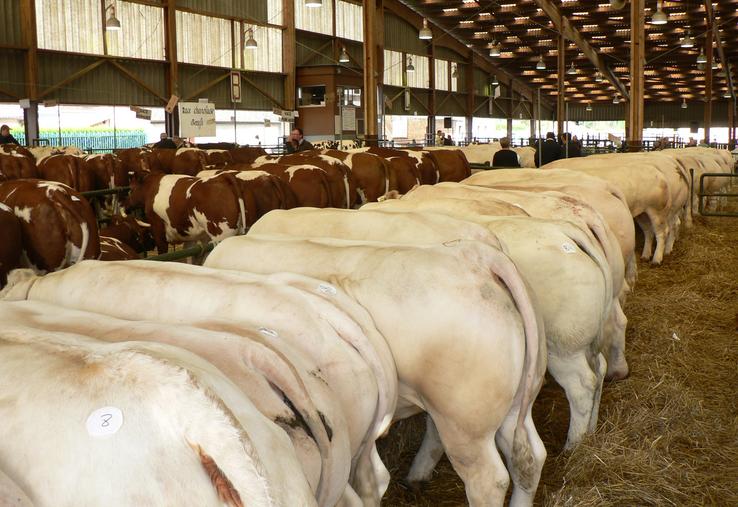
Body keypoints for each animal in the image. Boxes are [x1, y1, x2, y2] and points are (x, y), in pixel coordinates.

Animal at [125, 173, 254, 256]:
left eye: (130, 189)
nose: (125, 206)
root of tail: (222, 177)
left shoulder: (157, 227)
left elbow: (162, 250)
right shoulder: (191, 235)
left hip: (222, 234)